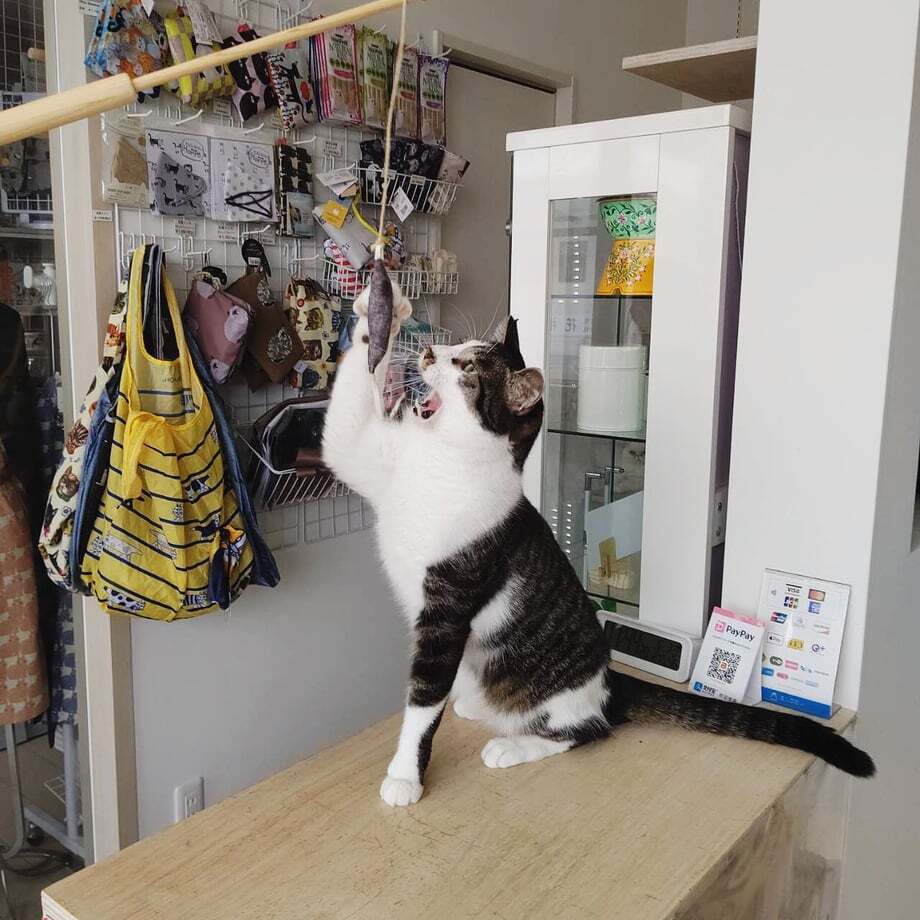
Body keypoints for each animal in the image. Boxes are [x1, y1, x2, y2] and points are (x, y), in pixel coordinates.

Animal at [322, 292, 875, 808]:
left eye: (468, 368)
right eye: (457, 347)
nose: (431, 350)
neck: (440, 458)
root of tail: (611, 680)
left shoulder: (448, 609)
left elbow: (423, 700)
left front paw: (405, 776)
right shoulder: (370, 459)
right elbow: (341, 436)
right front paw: (380, 312)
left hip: (566, 702)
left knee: (587, 729)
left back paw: (514, 745)